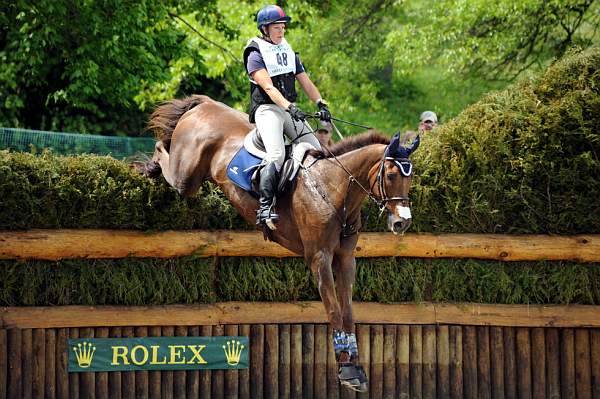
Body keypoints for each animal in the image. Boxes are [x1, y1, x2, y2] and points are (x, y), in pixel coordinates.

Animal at [135, 94, 418, 394]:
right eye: (391, 175)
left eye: (410, 178)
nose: (402, 222)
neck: (333, 187)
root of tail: (204, 105)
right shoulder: (319, 258)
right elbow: (333, 310)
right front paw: (347, 370)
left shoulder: (345, 258)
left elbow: (348, 311)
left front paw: (356, 368)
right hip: (185, 178)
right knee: (161, 151)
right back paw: (144, 167)